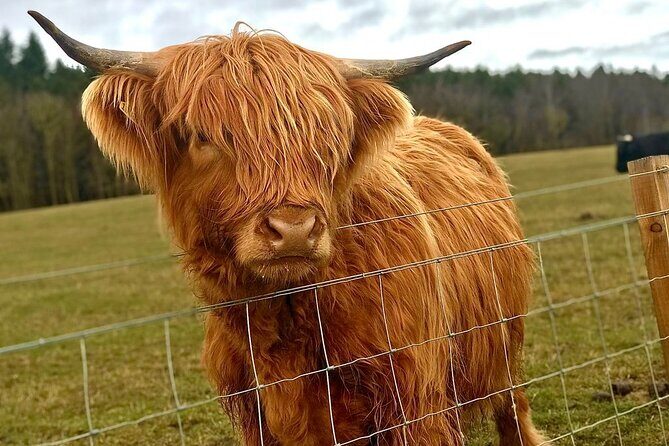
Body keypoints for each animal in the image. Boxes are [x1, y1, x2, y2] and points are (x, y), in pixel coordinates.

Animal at [31, 10, 544, 445]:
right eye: (202, 136)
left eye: (329, 138)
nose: (295, 230)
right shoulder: (256, 414)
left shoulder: (414, 401)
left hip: (505, 332)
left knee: (511, 402)